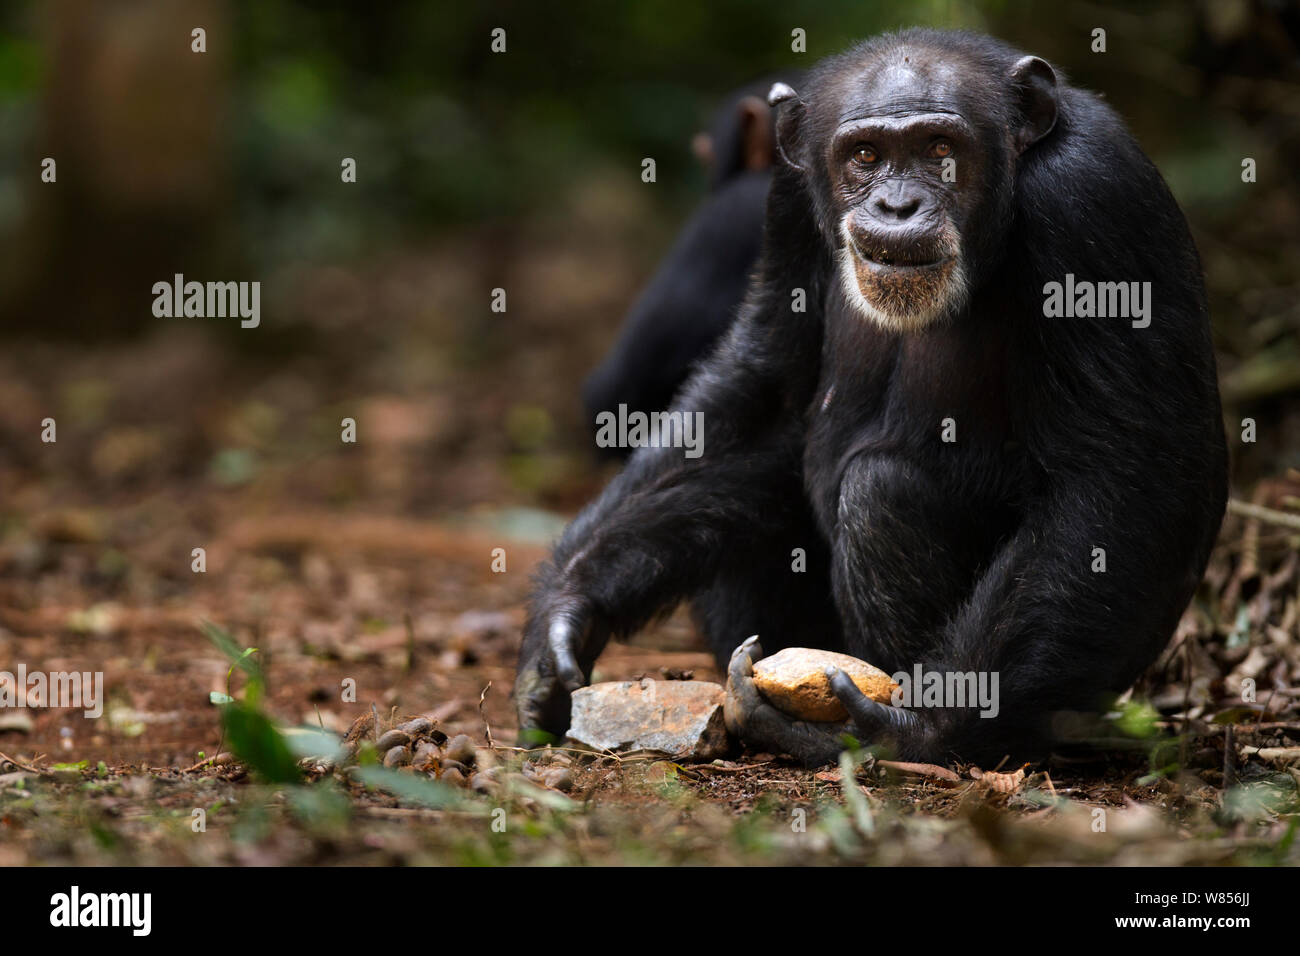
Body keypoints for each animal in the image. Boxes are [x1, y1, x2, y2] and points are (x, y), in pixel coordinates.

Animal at [512, 26, 1222, 764]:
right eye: (865, 155)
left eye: (940, 149)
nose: (898, 204)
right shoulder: (786, 200)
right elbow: (769, 386)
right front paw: (570, 608)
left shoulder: (1093, 199)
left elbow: (1116, 471)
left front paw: (920, 726)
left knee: (882, 489)